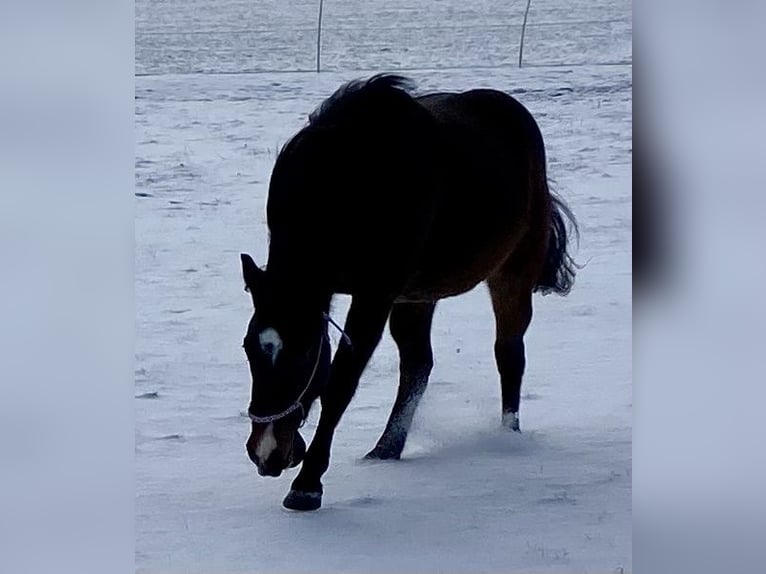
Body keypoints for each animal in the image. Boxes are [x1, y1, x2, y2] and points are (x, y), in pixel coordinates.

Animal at [239, 74, 577, 511]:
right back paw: (387, 447)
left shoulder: (375, 294)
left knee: (509, 354)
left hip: (511, 273)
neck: (346, 181)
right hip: (418, 297)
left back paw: (507, 437)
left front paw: (307, 485)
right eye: (248, 348)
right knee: (418, 364)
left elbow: (341, 384)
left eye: (303, 353)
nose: (266, 453)